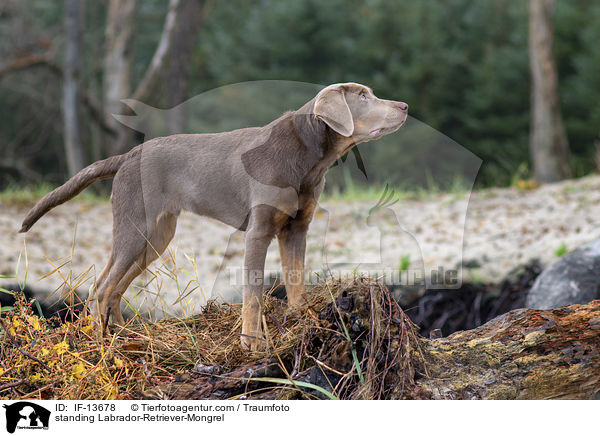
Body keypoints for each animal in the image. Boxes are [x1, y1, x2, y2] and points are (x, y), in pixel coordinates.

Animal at [21, 82, 410, 350]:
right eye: (363, 97)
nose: (405, 105)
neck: (309, 159)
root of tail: (128, 156)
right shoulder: (258, 232)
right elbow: (253, 291)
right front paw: (252, 342)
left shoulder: (296, 229)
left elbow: (295, 280)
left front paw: (301, 320)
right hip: (135, 227)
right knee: (100, 288)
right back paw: (103, 345)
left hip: (155, 237)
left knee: (115, 287)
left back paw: (126, 334)